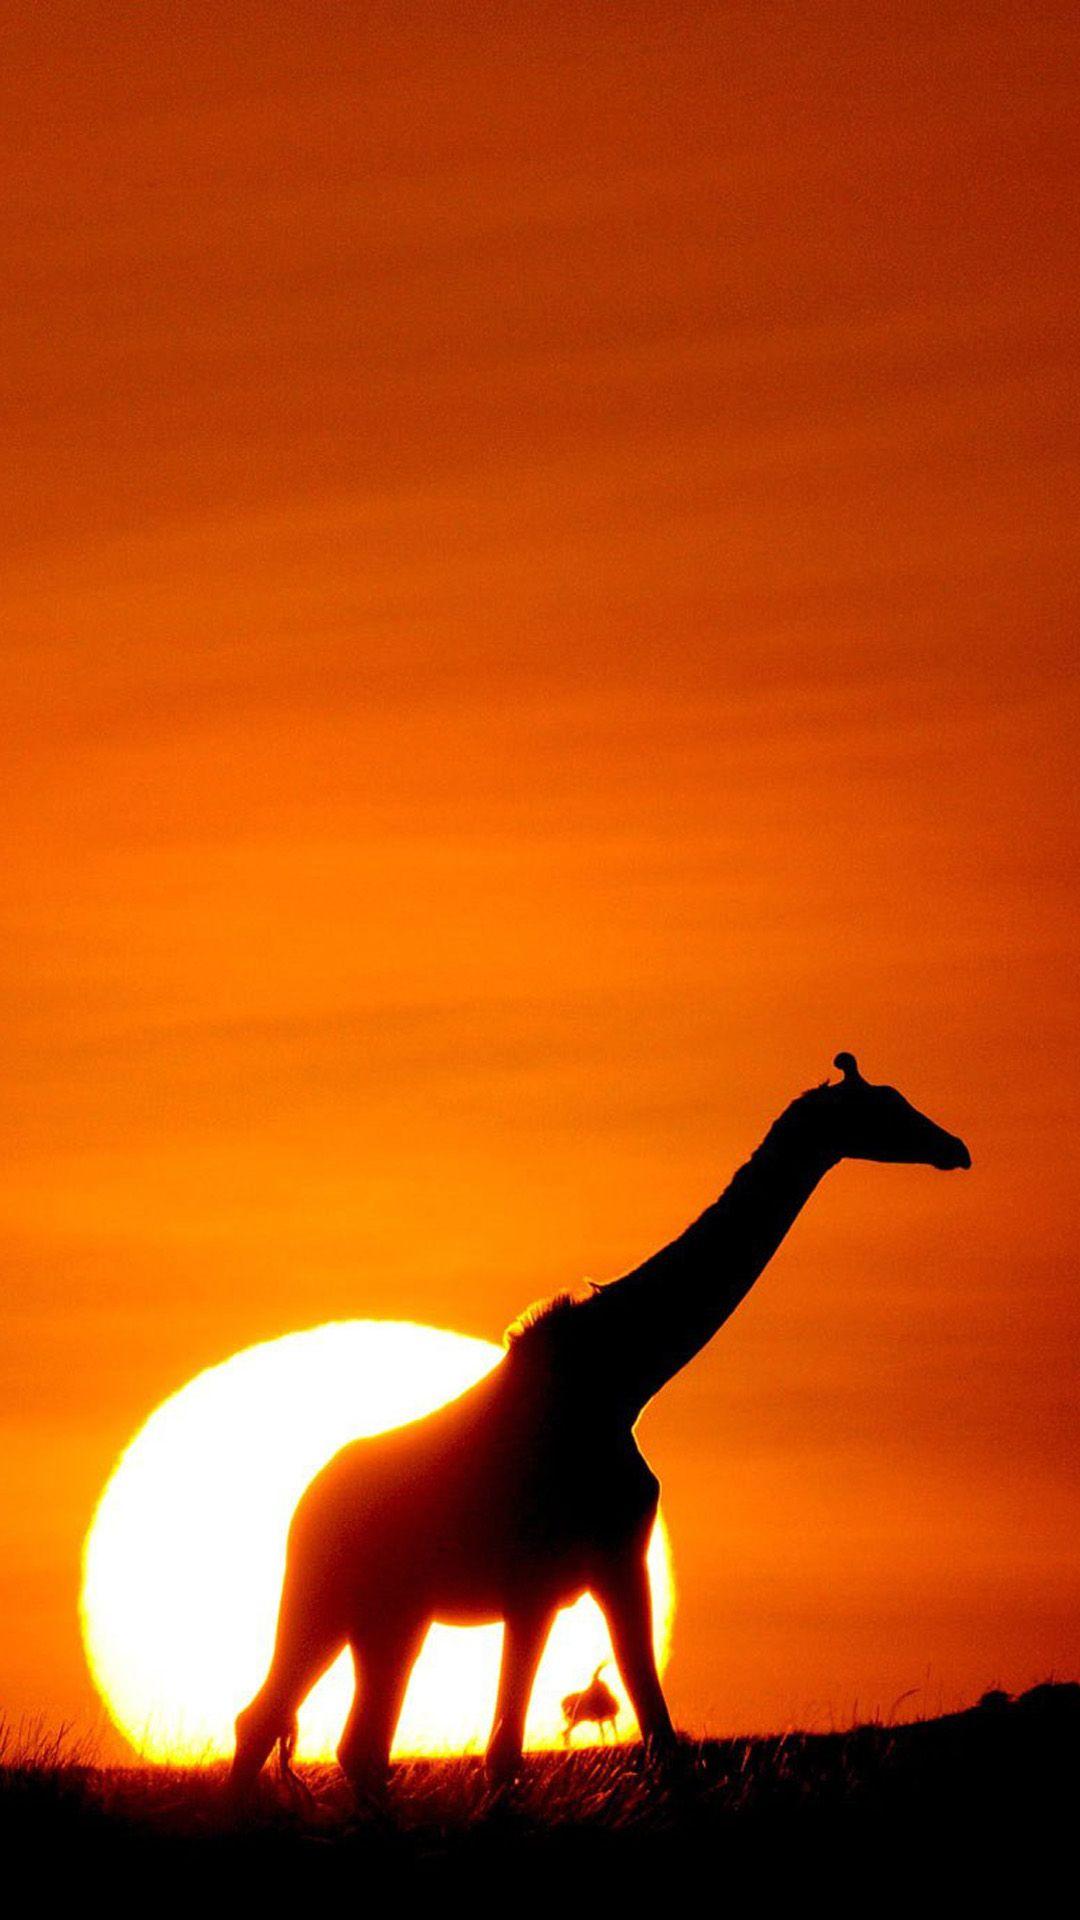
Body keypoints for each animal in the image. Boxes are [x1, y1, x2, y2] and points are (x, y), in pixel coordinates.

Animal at [231, 1052, 970, 1799]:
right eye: (886, 1105)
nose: (955, 1148)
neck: (621, 1380)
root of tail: (302, 1510)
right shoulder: (553, 1579)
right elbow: (521, 1749)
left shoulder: (596, 1571)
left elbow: (650, 1732)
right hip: (335, 1602)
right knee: (291, 1725)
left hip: (385, 1615)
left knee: (334, 1738)